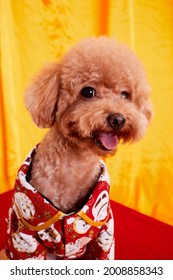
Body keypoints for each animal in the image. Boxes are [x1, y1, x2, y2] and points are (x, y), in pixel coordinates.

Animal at [4, 37, 153, 260]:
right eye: (88, 91)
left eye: (125, 95)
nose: (118, 119)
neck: (75, 164)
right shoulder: (25, 231)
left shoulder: (104, 230)